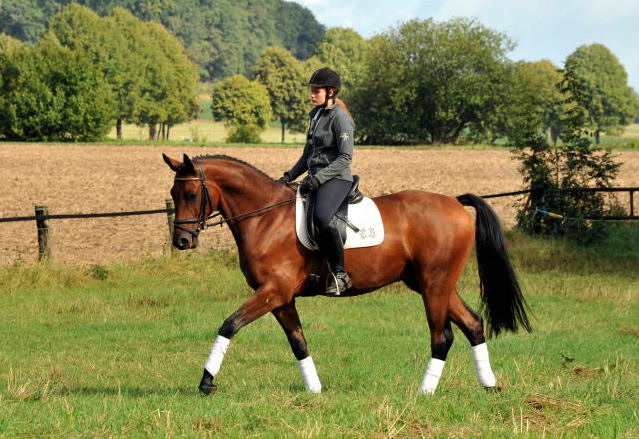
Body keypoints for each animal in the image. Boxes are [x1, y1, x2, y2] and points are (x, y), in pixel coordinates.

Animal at [162, 154, 532, 396]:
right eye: (173, 195)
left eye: (191, 194)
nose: (182, 241)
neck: (266, 218)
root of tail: (455, 203)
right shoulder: (281, 298)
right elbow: (298, 341)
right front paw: (314, 389)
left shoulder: (272, 291)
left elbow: (229, 325)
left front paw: (206, 382)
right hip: (431, 284)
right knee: (473, 324)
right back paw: (489, 385)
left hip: (434, 285)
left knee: (442, 336)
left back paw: (424, 392)